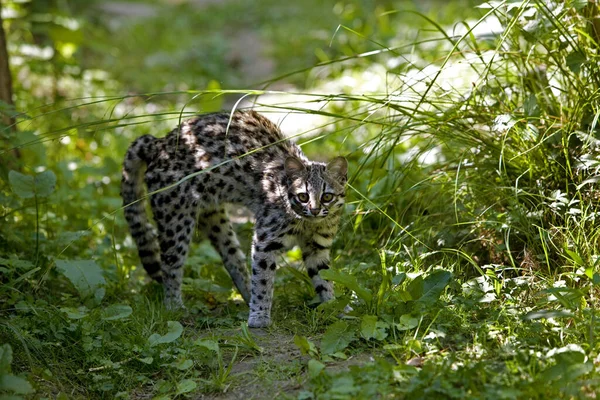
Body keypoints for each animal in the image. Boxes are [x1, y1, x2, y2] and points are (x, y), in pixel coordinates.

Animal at [120, 110, 346, 328]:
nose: (315, 210)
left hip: (214, 217)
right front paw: (259, 315)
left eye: (327, 196)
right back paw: (174, 305)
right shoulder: (265, 241)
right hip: (175, 219)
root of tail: (158, 142)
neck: (306, 222)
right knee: (170, 265)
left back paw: (246, 296)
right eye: (303, 196)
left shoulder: (318, 246)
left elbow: (324, 277)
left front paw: (333, 306)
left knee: (233, 260)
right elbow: (263, 279)